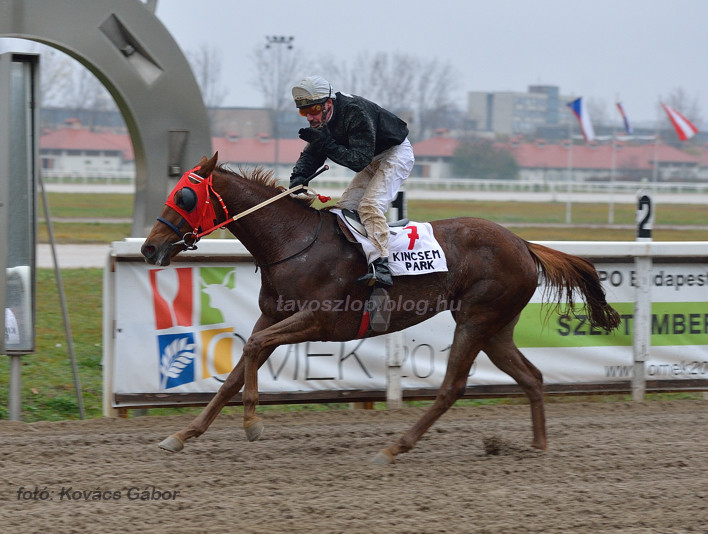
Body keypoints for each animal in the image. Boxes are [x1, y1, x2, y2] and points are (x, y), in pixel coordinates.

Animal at [142, 154, 620, 464]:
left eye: (184, 198)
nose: (149, 248)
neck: (292, 242)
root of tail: (522, 242)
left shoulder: (317, 321)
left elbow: (254, 349)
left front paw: (252, 424)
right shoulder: (274, 315)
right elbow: (237, 369)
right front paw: (182, 434)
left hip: (475, 319)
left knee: (452, 387)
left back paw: (395, 447)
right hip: (497, 327)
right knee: (531, 376)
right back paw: (538, 447)